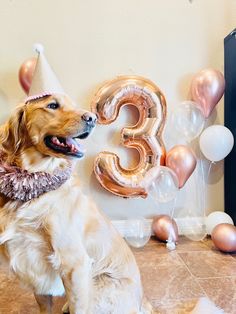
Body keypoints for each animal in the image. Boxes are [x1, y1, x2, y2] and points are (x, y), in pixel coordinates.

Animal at [0, 94, 153, 314]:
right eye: (52, 105)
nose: (92, 118)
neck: (33, 185)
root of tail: (142, 302)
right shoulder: (34, 267)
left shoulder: (74, 264)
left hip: (98, 286)